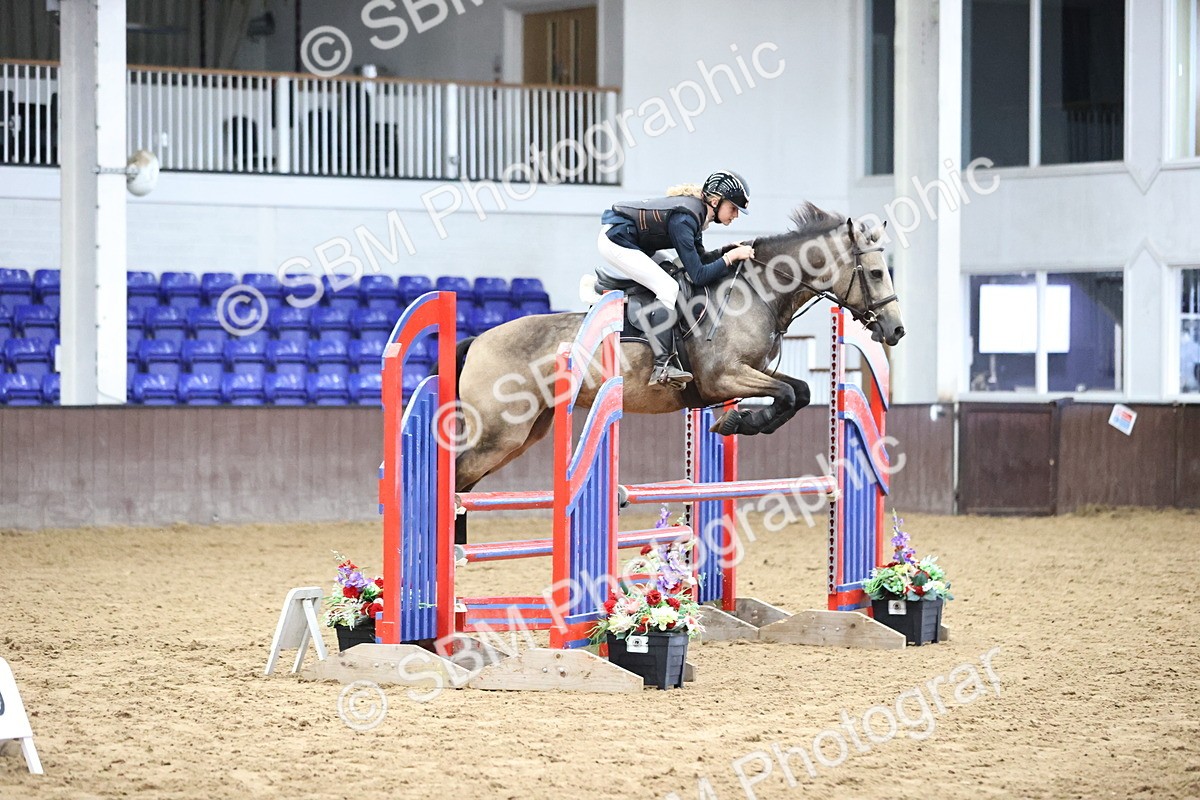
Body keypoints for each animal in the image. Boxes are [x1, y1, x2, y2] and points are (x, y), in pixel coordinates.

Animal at [453, 202, 905, 504]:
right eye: (876, 273)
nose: (896, 330)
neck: (756, 293)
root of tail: (478, 341)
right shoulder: (724, 378)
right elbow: (790, 393)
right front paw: (738, 421)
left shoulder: (749, 373)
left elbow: (800, 392)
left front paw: (740, 421)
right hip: (498, 433)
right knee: (455, 475)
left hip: (526, 432)